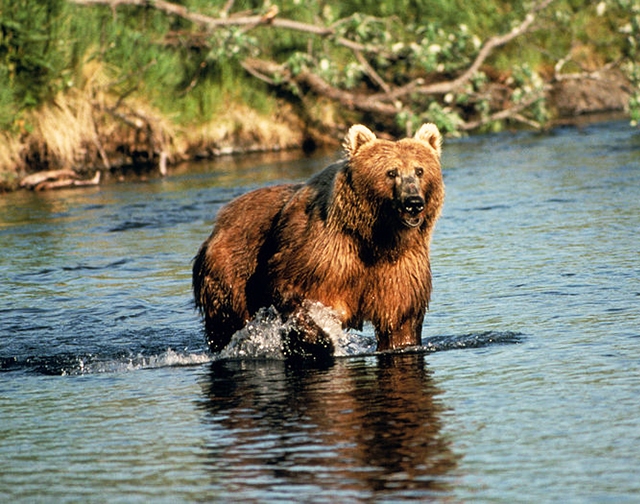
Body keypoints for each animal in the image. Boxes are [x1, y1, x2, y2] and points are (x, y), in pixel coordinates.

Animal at [192, 124, 444, 360]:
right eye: (391, 172)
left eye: (419, 170)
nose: (413, 202)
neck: (377, 238)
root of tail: (218, 223)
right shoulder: (323, 254)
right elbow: (295, 293)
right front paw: (318, 343)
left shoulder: (400, 268)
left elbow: (400, 321)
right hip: (231, 270)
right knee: (228, 321)